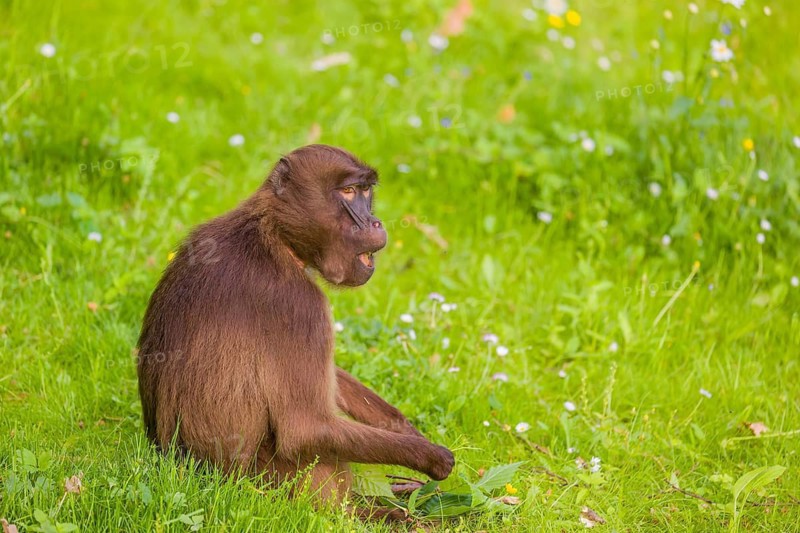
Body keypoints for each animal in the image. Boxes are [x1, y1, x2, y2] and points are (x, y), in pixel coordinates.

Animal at [137, 144, 454, 508]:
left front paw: (405, 428)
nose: (375, 222)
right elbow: (305, 430)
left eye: (366, 191)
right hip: (263, 485)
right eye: (348, 191)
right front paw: (431, 457)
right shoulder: (300, 304)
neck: (273, 233)